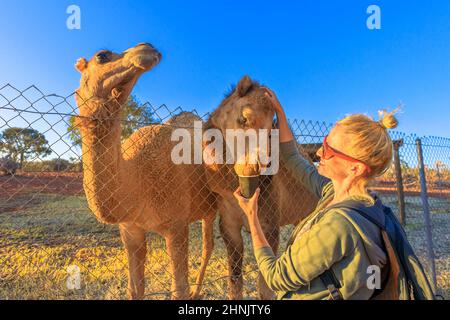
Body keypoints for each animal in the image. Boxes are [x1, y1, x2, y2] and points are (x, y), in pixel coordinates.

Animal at [74, 43, 284, 300]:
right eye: (102, 56)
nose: (147, 49)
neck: (136, 178)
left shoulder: (176, 227)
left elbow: (178, 289)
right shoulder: (130, 230)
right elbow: (135, 290)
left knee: (208, 246)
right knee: (209, 244)